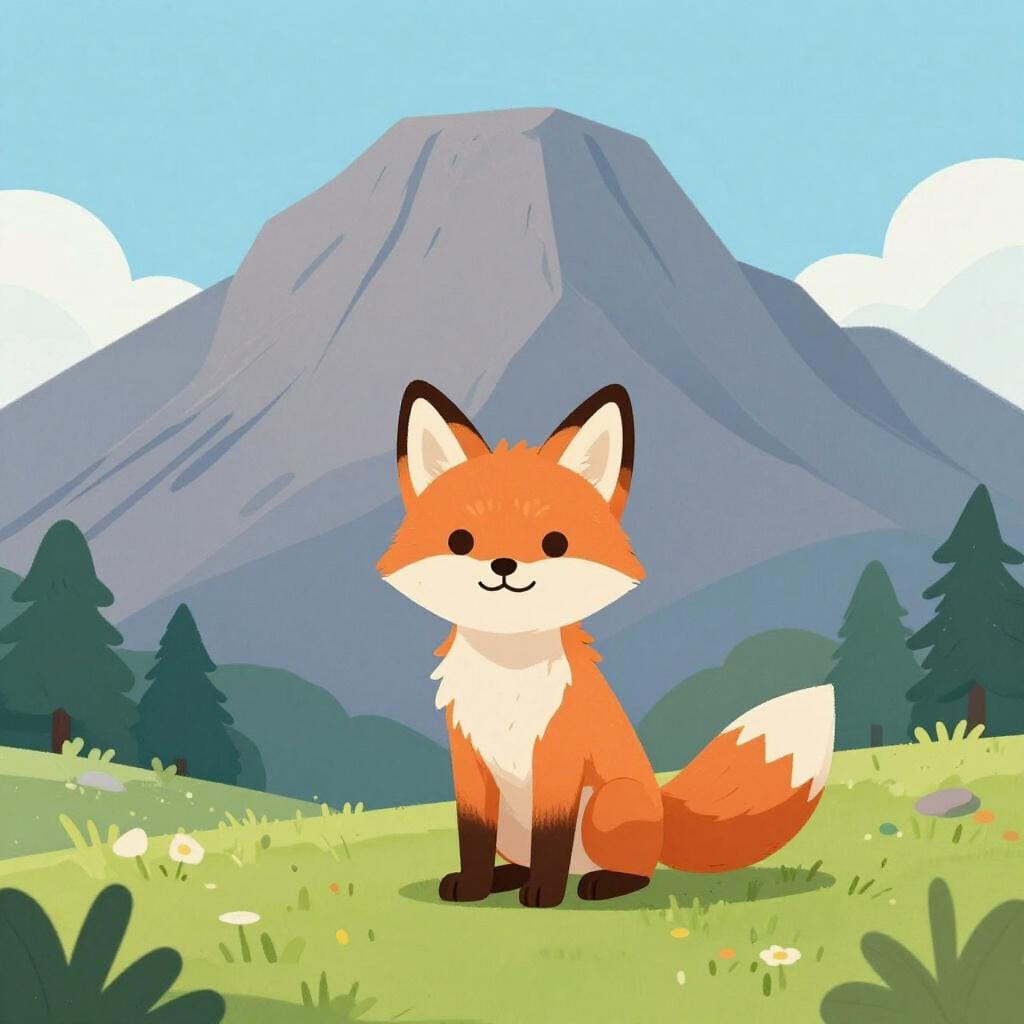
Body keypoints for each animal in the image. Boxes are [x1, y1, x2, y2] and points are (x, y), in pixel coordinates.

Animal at [377, 380, 835, 907]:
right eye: (460, 540)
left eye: (555, 542)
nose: (504, 565)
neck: (508, 676)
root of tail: (663, 813)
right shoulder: (469, 764)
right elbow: (472, 836)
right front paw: (473, 887)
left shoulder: (559, 760)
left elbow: (551, 836)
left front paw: (544, 894)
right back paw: (506, 877)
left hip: (609, 805)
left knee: (638, 871)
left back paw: (602, 882)